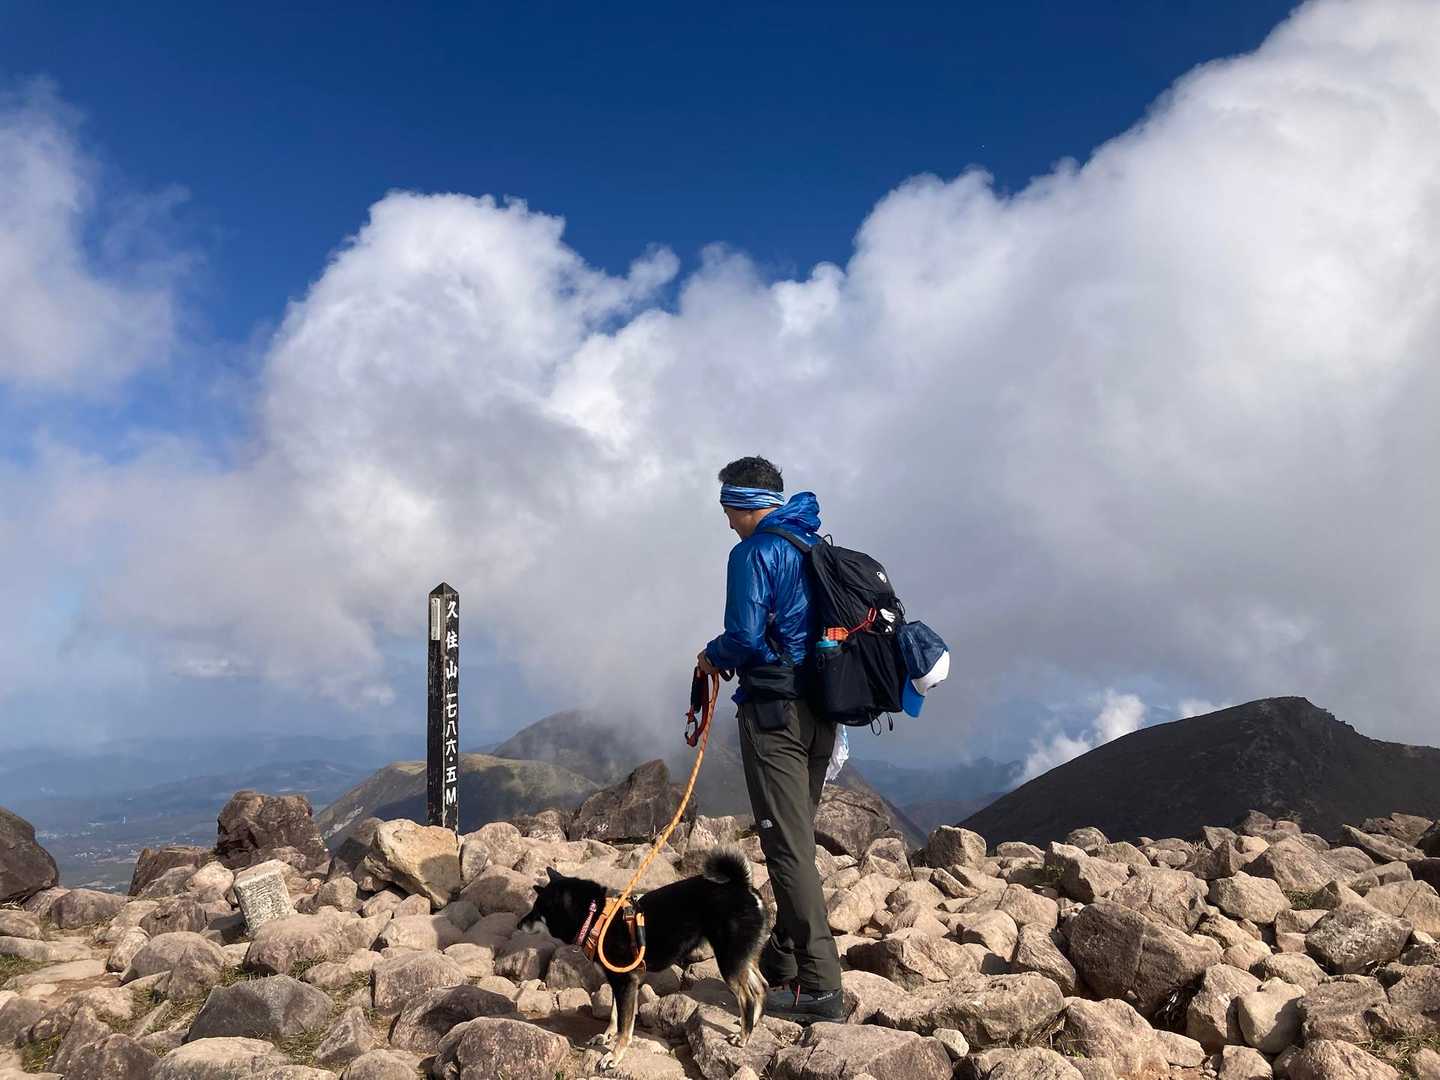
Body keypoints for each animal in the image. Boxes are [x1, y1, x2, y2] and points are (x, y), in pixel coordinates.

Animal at [518, 849, 767, 1071]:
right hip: (743, 958)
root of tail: (741, 886)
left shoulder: (626, 982)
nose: (519, 924)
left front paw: (614, 1056)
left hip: (729, 961)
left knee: (747, 996)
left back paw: (743, 1036)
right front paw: (607, 1037)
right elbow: (616, 1014)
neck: (596, 917)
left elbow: (625, 1025)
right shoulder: (621, 982)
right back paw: (750, 1023)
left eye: (537, 911)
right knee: (760, 987)